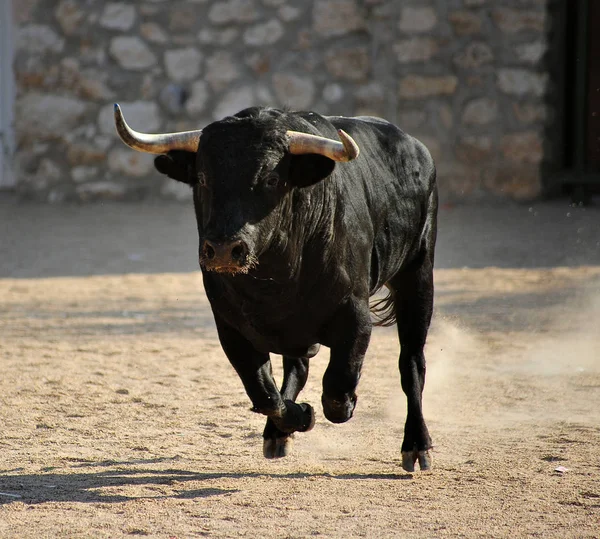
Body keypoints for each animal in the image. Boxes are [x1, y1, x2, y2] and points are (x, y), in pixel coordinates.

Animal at [115, 105, 438, 472]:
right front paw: (298, 417)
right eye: (203, 178)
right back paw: (278, 433)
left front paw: (335, 407)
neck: (275, 279)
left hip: (418, 276)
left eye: (271, 179)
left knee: (411, 364)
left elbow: (337, 394)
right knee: (296, 369)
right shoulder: (231, 329)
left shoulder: (356, 318)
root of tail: (415, 146)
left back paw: (417, 445)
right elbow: (265, 394)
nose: (224, 249)